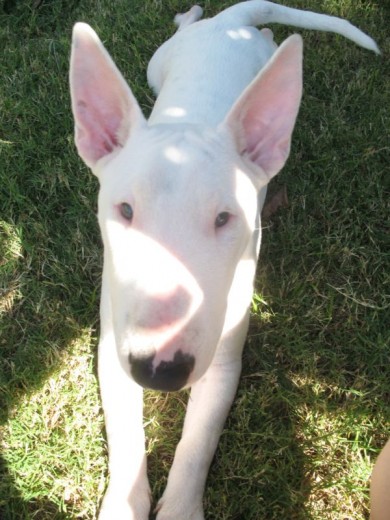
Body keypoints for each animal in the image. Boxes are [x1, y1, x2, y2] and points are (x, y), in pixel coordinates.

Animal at [70, 2, 378, 516]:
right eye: (126, 210)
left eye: (223, 218)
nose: (160, 372)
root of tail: (230, 22)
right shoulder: (113, 350)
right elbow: (126, 436)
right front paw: (123, 504)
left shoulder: (222, 363)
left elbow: (198, 443)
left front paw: (179, 508)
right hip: (158, 66)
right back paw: (193, 14)